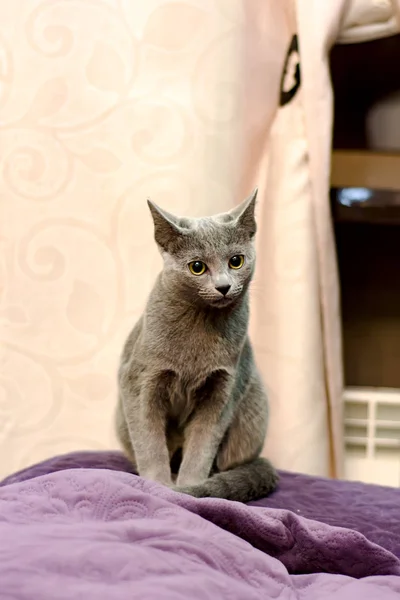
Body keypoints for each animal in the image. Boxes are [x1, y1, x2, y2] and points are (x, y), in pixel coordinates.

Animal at [115, 191, 278, 502]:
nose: (223, 286)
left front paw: (188, 488)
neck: (203, 322)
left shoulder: (223, 387)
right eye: (197, 267)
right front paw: (159, 485)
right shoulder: (141, 381)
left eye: (236, 261)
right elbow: (149, 442)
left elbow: (202, 446)